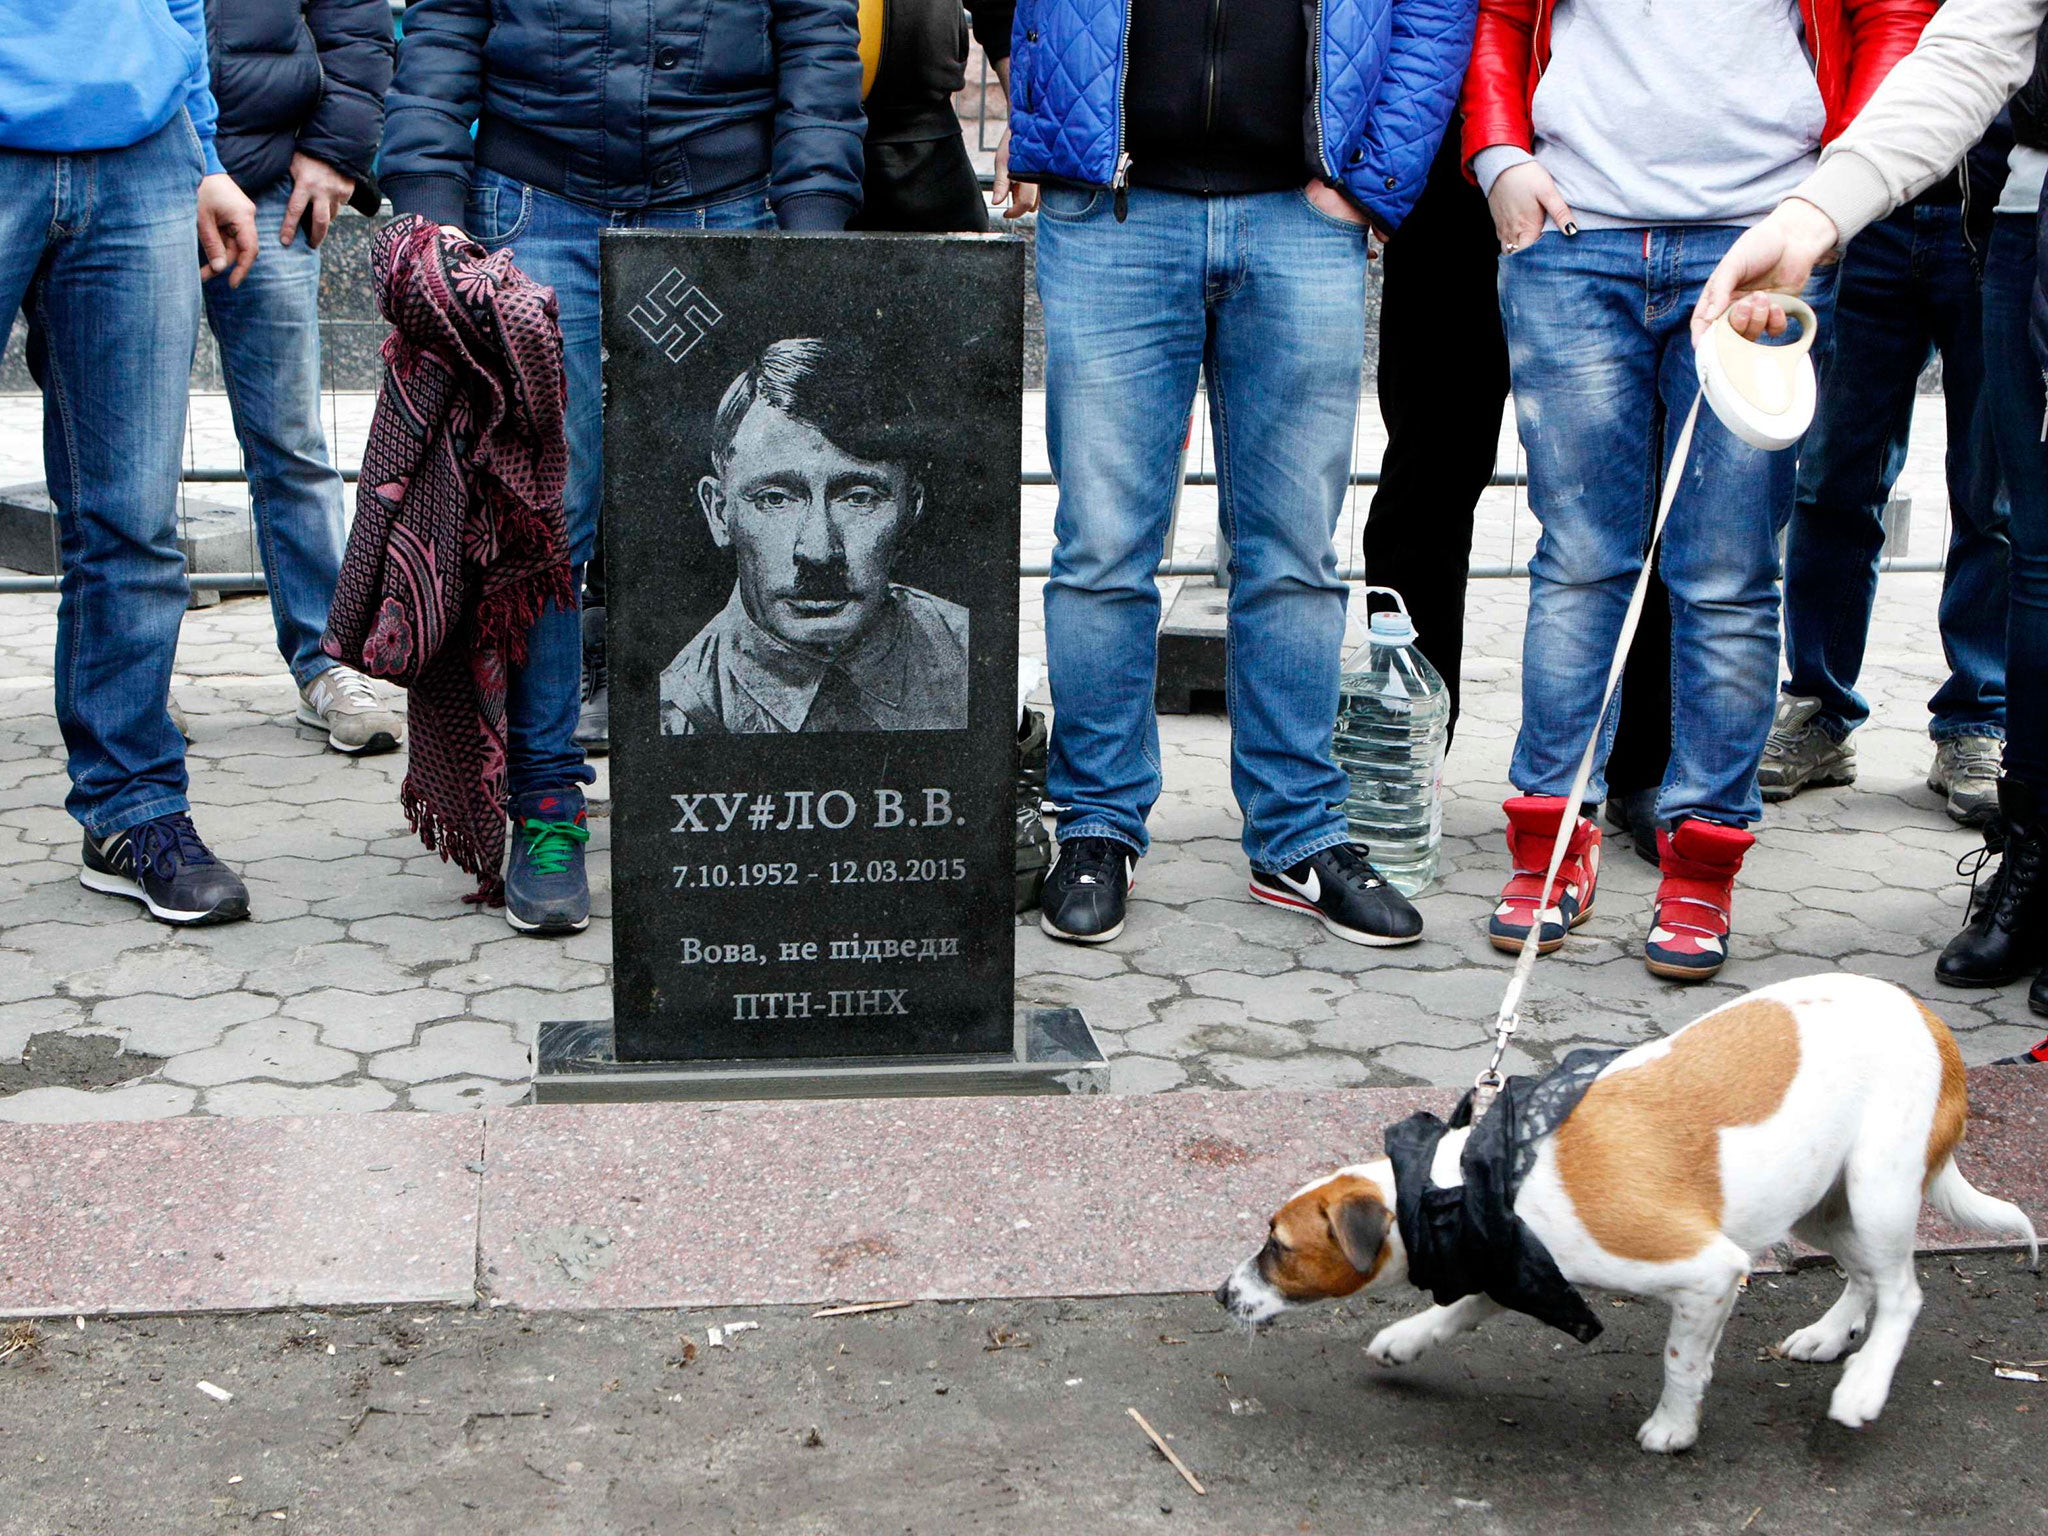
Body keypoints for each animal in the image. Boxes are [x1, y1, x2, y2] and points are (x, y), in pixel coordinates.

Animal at [1212, 978, 2031, 1458]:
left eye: (1276, 1245)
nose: (1221, 1295)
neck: (1464, 1183)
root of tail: (1928, 1016)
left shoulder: (1709, 1272)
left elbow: (1681, 1361)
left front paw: (1673, 1427)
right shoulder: (1511, 1260)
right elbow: (1460, 1309)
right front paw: (1409, 1339)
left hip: (1877, 1186)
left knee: (1904, 1291)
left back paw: (1864, 1386)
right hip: (1822, 1204)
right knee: (1865, 1276)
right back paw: (1830, 1336)